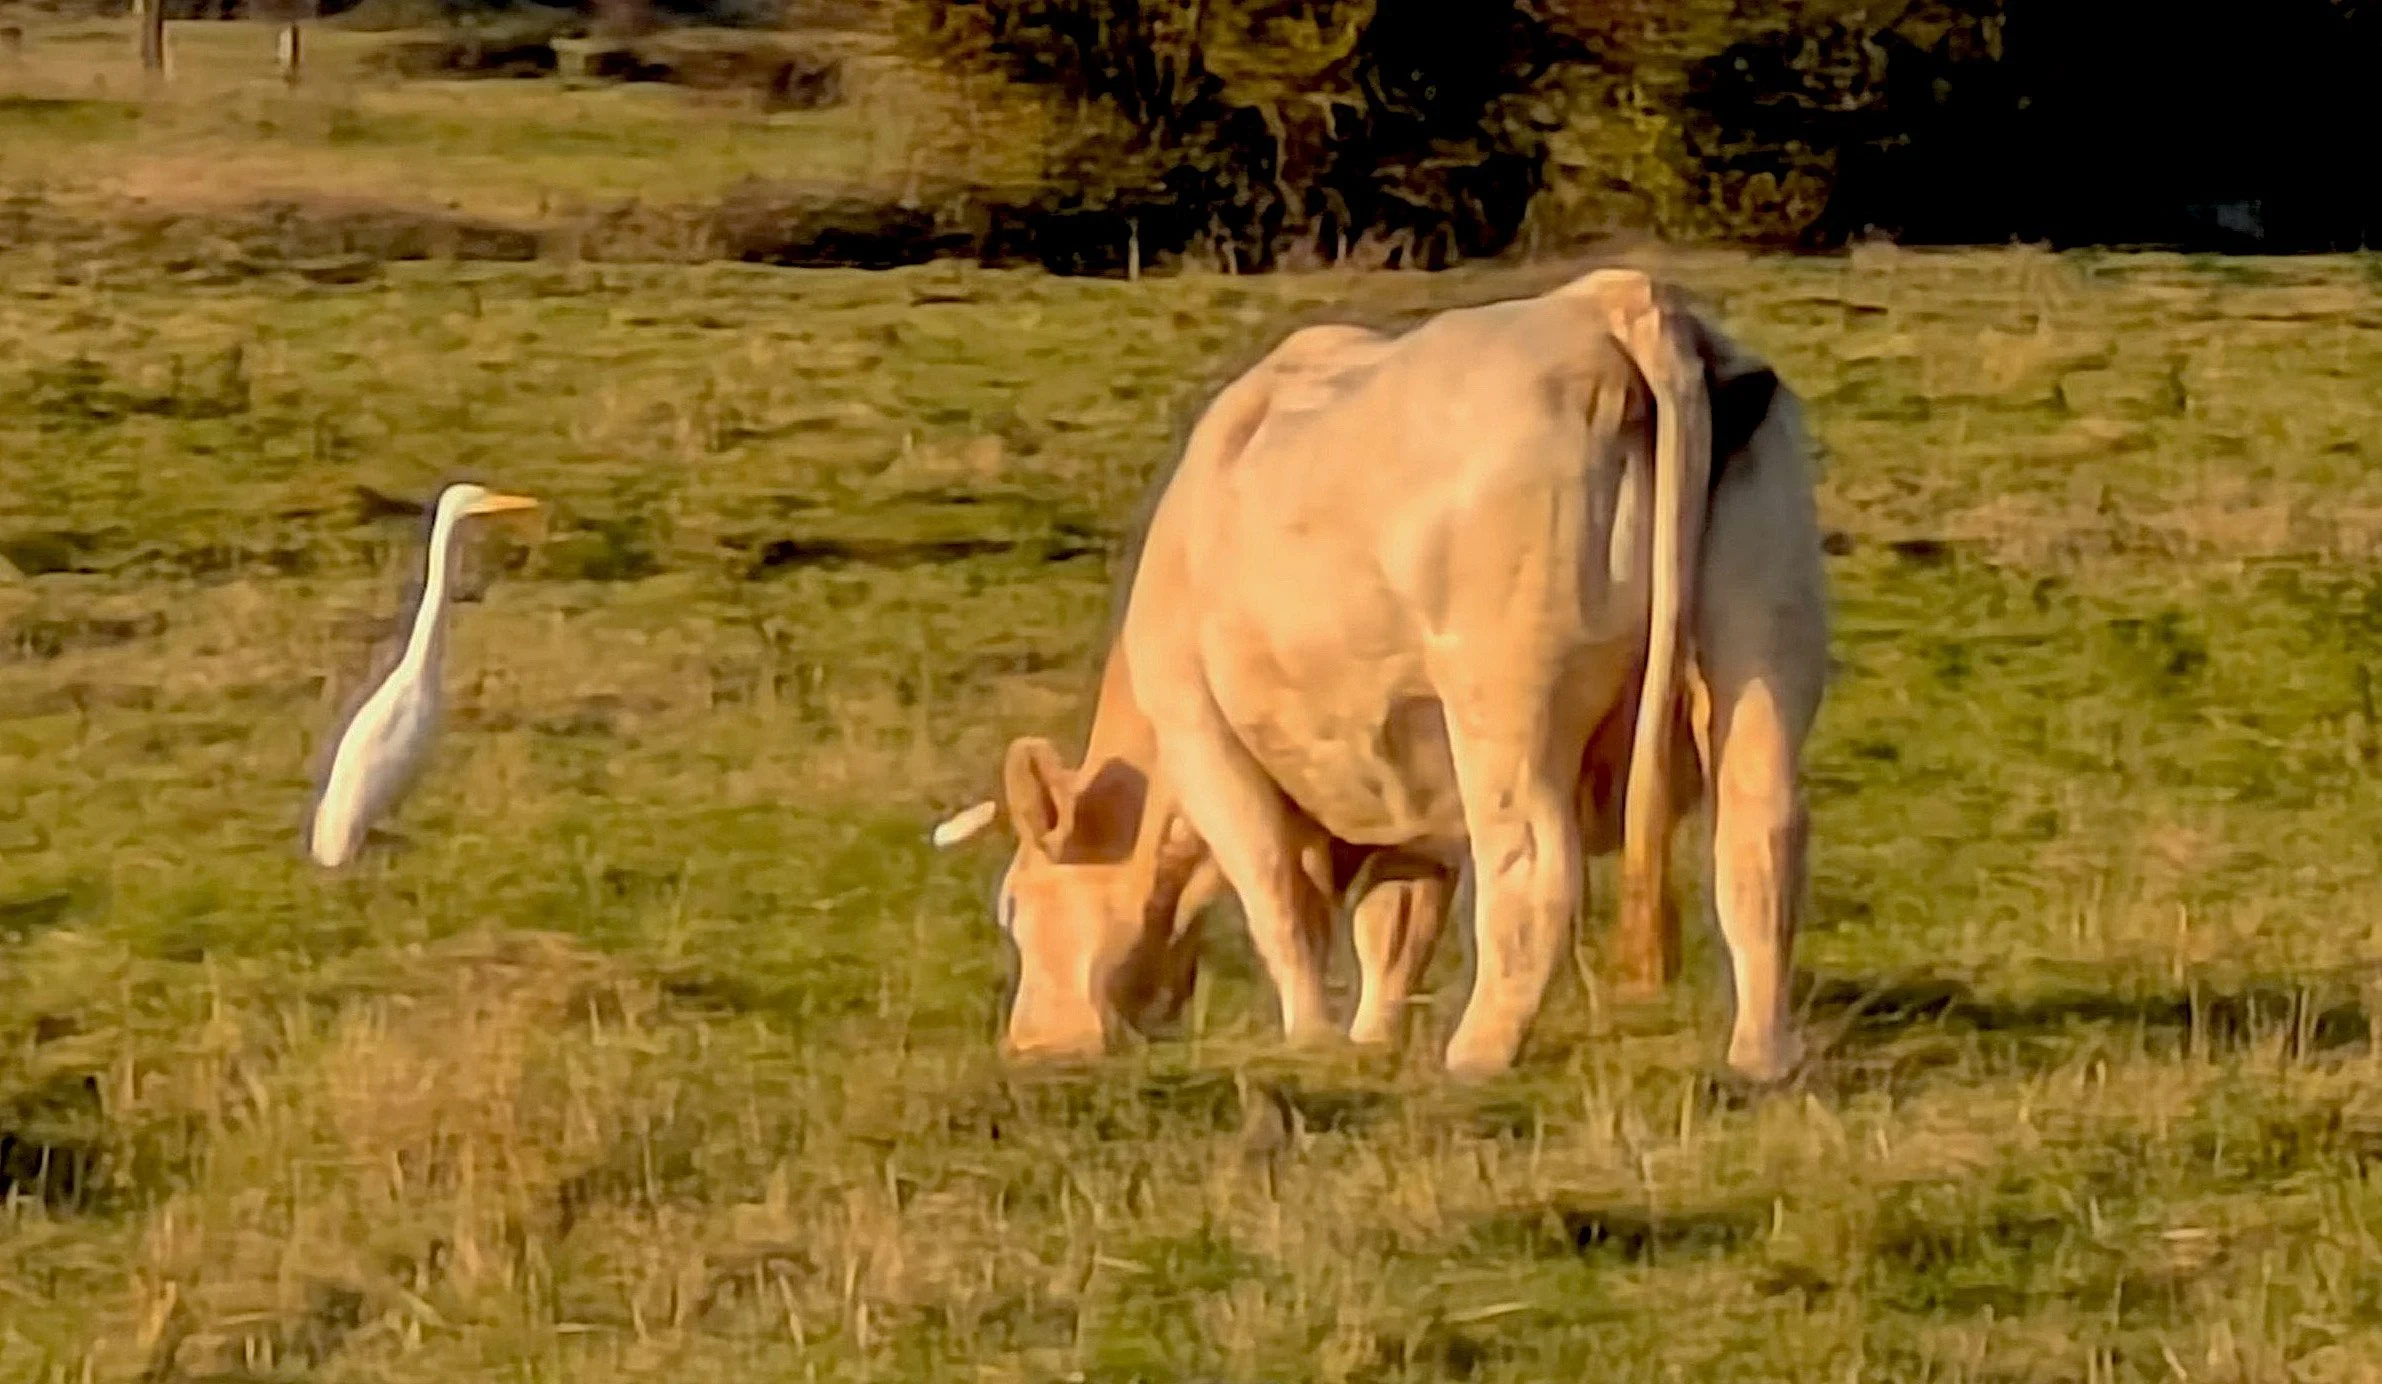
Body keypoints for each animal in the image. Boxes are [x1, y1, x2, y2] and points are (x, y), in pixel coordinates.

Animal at [933, 268, 1829, 1081]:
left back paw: (1477, 1053)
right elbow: (1395, 923)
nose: (1031, 1045)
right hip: (1760, 649)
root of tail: (1615, 301)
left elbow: (1279, 902)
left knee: (1533, 867)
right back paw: (1761, 1056)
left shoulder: (1201, 736)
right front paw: (1371, 1039)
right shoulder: (1410, 780)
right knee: (1759, 839)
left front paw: (1313, 1040)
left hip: (1504, 704)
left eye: (1015, 904)